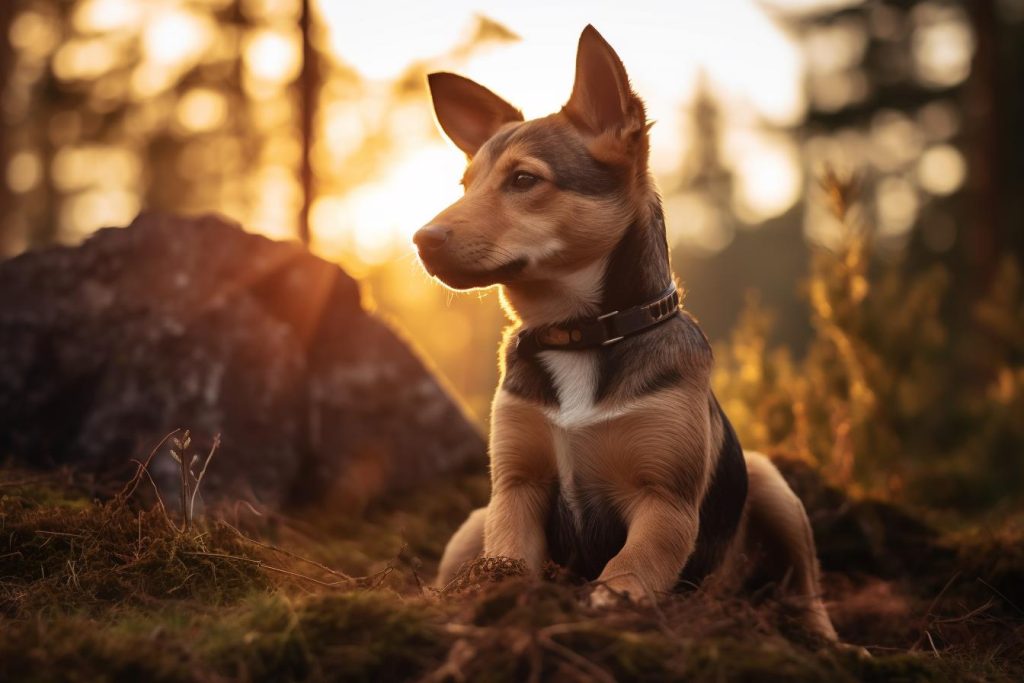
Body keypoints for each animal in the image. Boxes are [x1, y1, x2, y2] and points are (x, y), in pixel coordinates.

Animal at [415, 24, 839, 643]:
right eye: (466, 184)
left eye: (523, 179)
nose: (422, 240)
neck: (580, 333)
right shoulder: (515, 486)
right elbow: (509, 557)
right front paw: (500, 600)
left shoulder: (665, 500)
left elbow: (634, 561)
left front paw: (611, 601)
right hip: (474, 519)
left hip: (772, 485)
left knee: (808, 589)